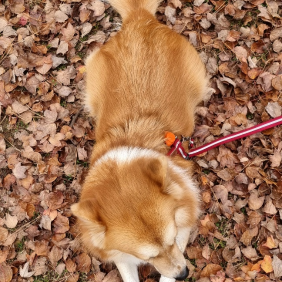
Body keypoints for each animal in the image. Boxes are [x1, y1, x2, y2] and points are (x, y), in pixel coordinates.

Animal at [70, 0, 207, 282]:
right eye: (149, 256)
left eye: (172, 240)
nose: (184, 274)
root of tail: (139, 19)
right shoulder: (121, 256)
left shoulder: (185, 219)